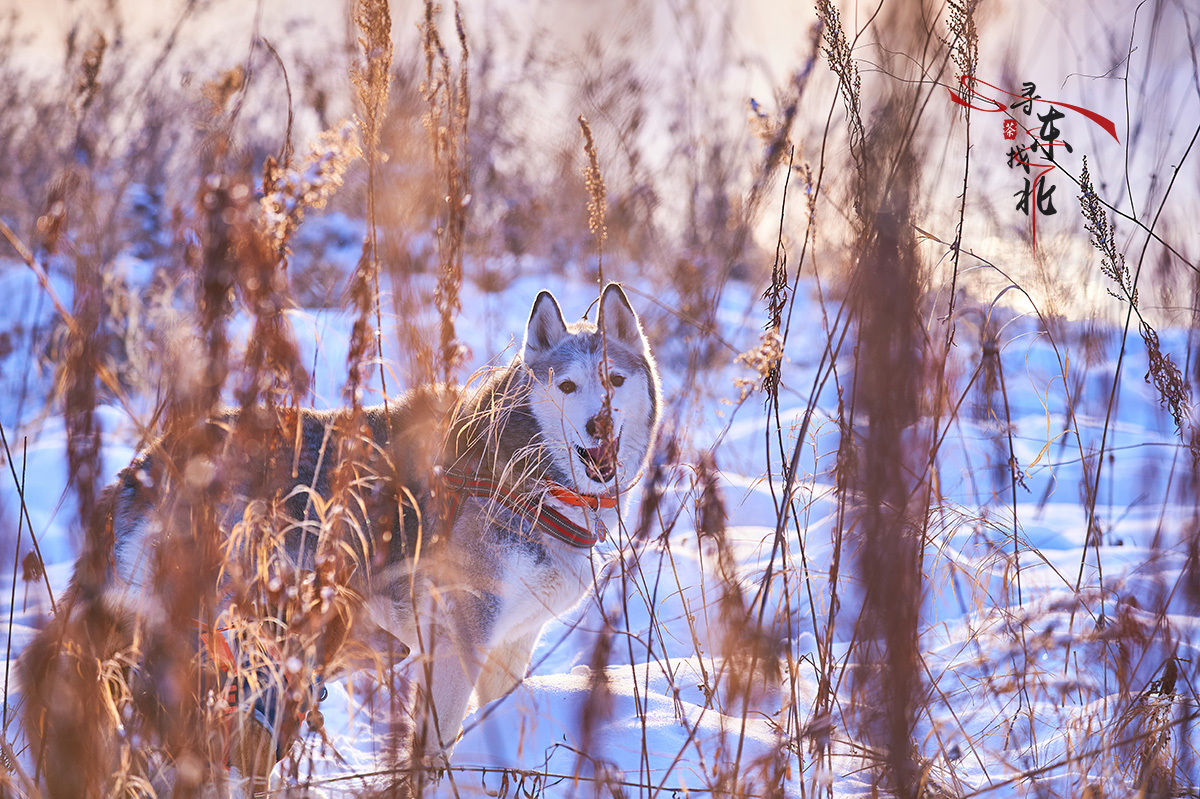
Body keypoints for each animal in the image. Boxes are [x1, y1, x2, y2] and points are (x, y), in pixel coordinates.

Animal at [28, 279, 662, 791]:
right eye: (568, 386)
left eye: (614, 380)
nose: (599, 424)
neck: (531, 476)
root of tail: (141, 470)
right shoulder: (456, 632)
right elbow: (437, 739)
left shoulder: (509, 644)